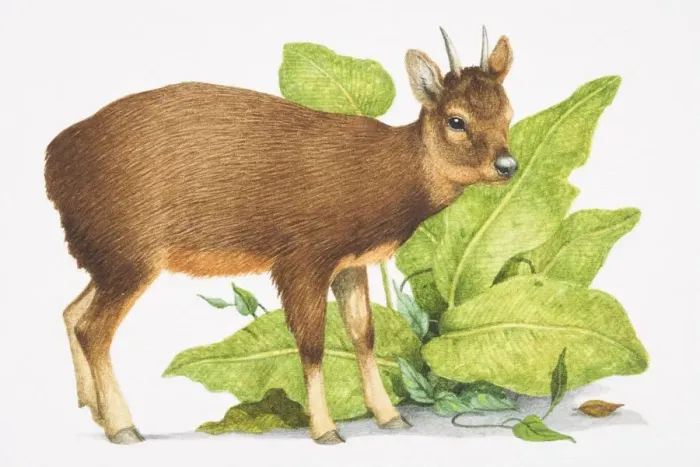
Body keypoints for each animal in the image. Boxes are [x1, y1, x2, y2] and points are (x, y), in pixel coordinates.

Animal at [45, 27, 517, 445]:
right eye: (456, 120)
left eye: (508, 114)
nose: (508, 165)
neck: (383, 179)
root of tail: (51, 163)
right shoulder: (303, 257)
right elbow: (312, 344)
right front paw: (325, 430)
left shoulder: (352, 262)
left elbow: (363, 335)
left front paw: (390, 416)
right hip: (128, 251)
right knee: (93, 328)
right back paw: (123, 427)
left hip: (106, 255)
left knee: (71, 311)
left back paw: (93, 409)